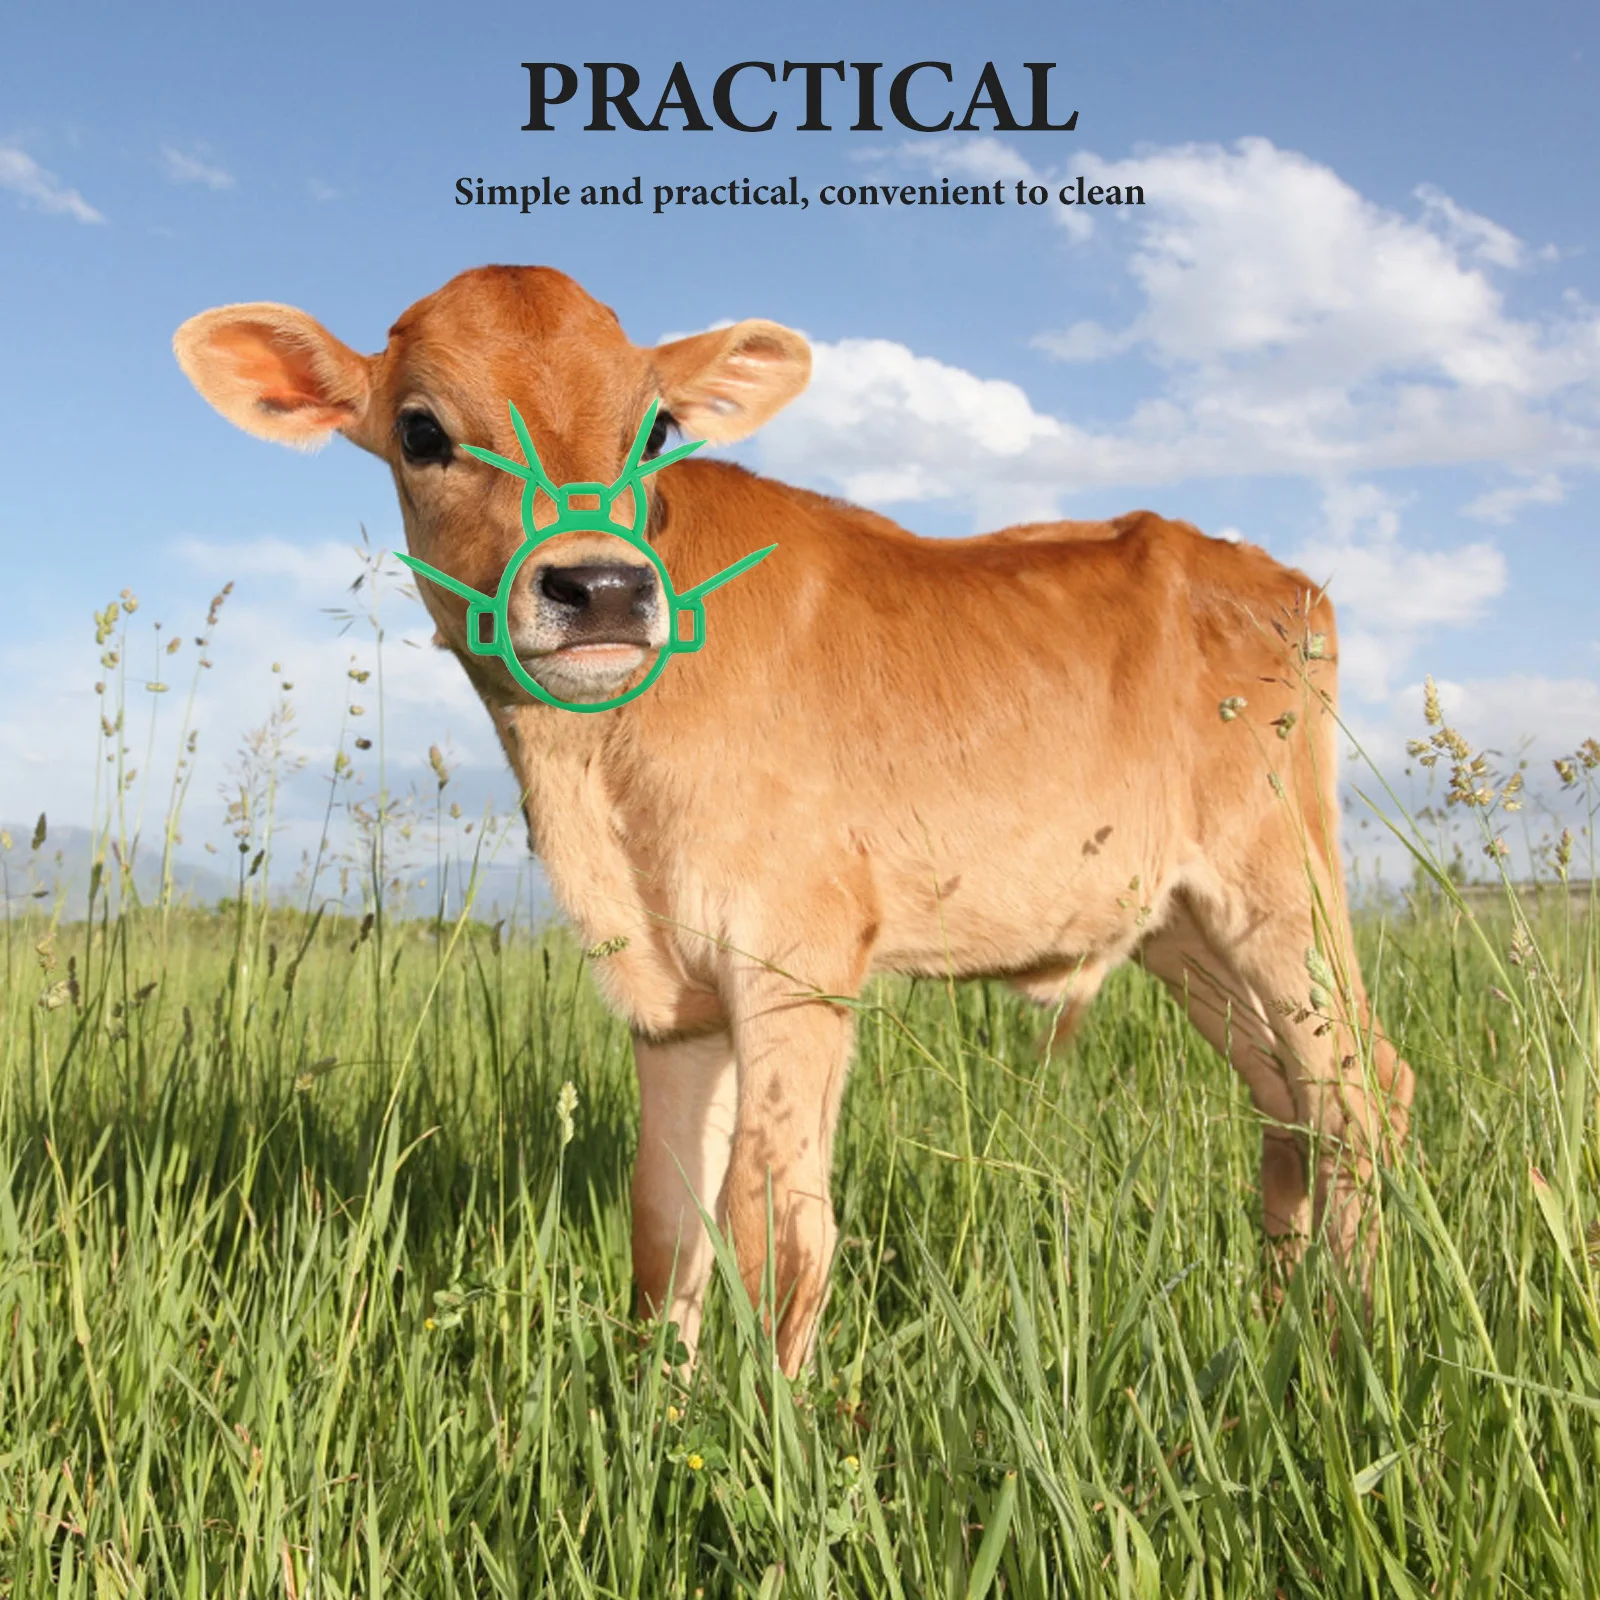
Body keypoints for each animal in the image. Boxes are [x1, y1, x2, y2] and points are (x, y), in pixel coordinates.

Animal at [174, 264, 1413, 1375]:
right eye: (423, 431)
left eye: (655, 427)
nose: (601, 589)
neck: (596, 788)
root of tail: (1266, 575)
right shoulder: (668, 992)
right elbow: (664, 1224)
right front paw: (658, 1416)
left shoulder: (798, 957)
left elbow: (775, 1227)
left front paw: (771, 1450)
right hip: (1180, 926)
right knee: (1288, 1106)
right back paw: (1278, 1322)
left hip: (1279, 886)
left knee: (1361, 1092)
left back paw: (1349, 1331)